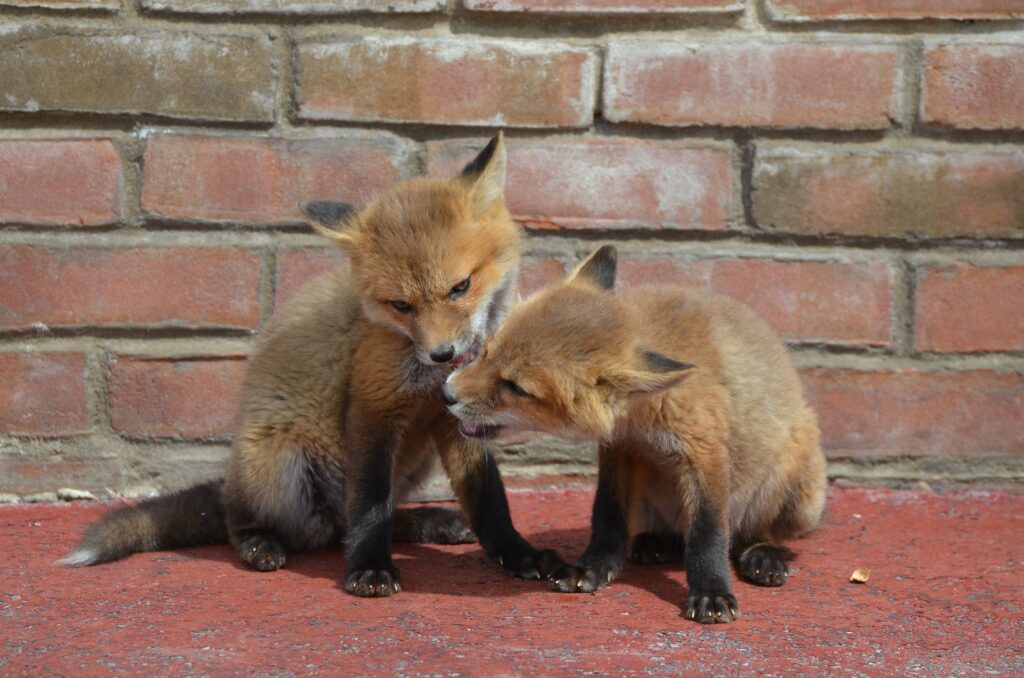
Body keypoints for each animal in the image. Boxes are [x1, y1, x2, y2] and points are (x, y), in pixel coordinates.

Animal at [61, 132, 564, 595]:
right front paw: (370, 568)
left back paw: (426, 523)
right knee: (248, 519)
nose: (443, 354)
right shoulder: (372, 407)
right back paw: (260, 543)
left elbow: (488, 501)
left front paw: (517, 554)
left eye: (461, 287)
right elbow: (372, 505)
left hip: (411, 463)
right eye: (401, 305)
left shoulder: (456, 418)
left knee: (351, 521)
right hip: (277, 459)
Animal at [442, 244, 827, 623]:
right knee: (676, 532)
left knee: (751, 533)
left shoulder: (705, 450)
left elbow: (708, 532)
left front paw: (711, 589)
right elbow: (607, 514)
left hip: (797, 488)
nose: (446, 393)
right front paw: (593, 567)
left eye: (517, 388)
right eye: (487, 351)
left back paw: (762, 554)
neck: (639, 419)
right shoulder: (621, 451)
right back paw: (660, 543)